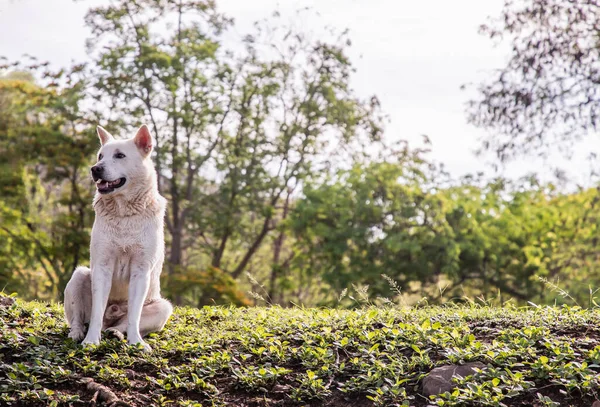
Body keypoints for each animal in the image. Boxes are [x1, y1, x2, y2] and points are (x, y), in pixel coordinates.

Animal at [66, 124, 173, 350]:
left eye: (120, 155)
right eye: (100, 156)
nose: (95, 168)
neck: (124, 213)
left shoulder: (141, 271)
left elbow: (134, 316)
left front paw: (136, 343)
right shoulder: (102, 266)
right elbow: (96, 312)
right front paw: (91, 340)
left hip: (163, 307)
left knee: (123, 323)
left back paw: (116, 332)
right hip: (79, 275)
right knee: (78, 318)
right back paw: (78, 333)